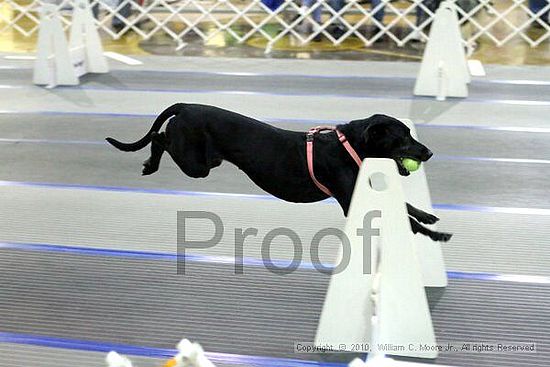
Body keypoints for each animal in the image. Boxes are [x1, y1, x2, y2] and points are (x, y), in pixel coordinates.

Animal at [106, 103, 452, 242]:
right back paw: (150, 164)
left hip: (203, 162)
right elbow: (405, 219)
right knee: (158, 137)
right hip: (196, 164)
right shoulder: (350, 198)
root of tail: (186, 106)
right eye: (402, 137)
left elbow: (406, 207)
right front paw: (437, 235)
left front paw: (428, 216)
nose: (428, 153)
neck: (350, 145)